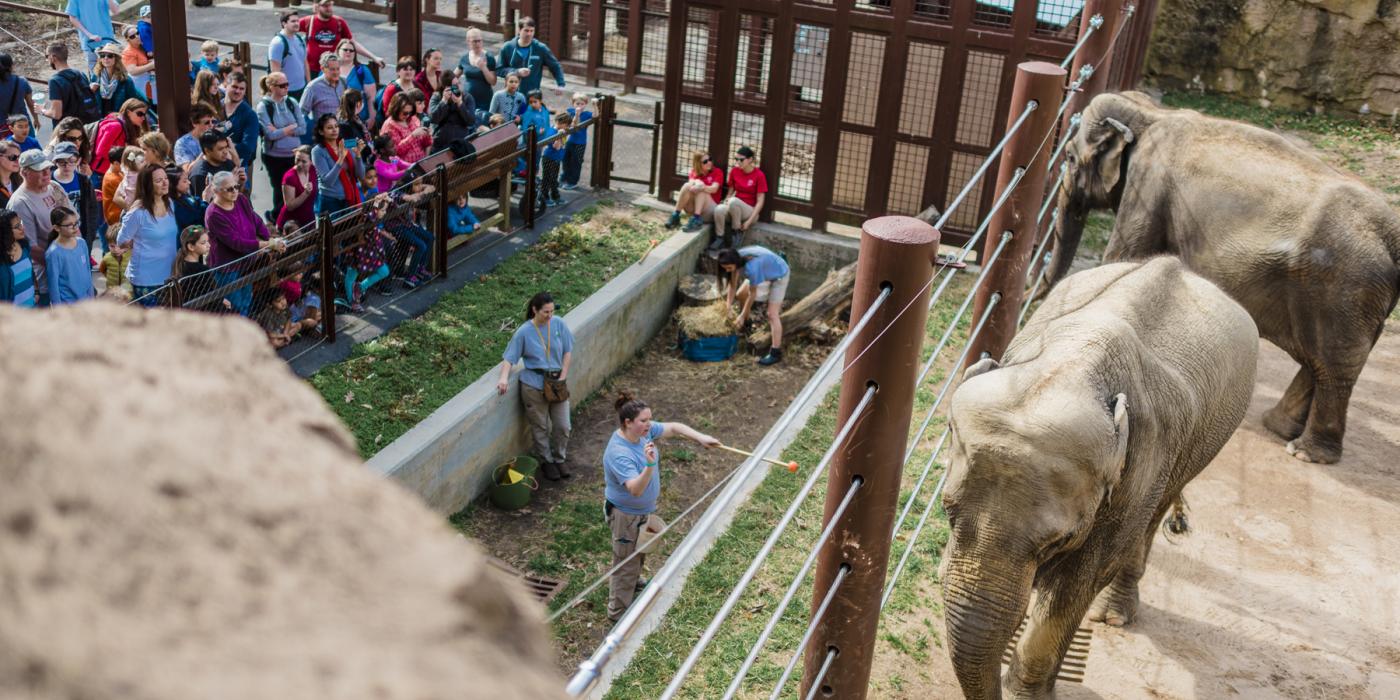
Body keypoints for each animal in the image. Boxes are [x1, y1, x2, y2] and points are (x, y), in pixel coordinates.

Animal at [940, 259, 1260, 700]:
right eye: (947, 511)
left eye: (1058, 541)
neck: (1074, 367)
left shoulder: (1140, 466)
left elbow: (1078, 584)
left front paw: (1029, 694)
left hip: (1194, 450)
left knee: (1152, 518)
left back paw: (1112, 616)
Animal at [1047, 91, 1400, 464]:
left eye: (1069, 157)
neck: (1152, 114)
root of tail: (1394, 235)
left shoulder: (1147, 189)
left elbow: (1122, 258)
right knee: (1319, 359)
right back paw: (1278, 427)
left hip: (1344, 289)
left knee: (1333, 364)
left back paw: (1305, 453)